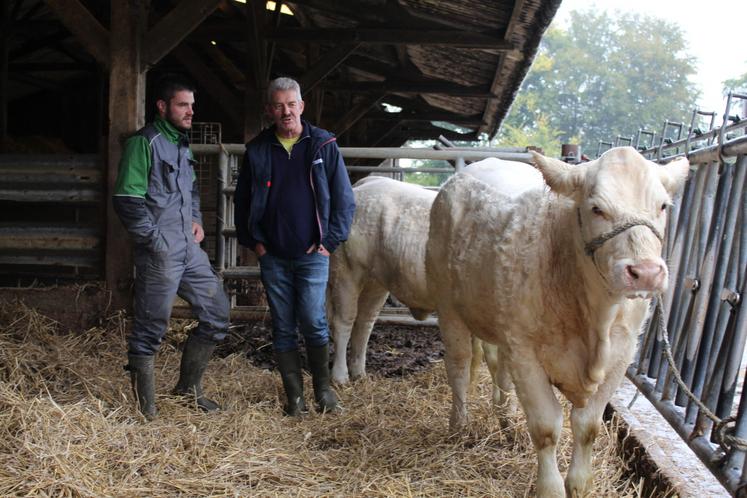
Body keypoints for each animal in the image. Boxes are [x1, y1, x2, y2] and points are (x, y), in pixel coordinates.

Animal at [426, 148, 688, 498]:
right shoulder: (526, 355)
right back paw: (459, 427)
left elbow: (588, 425)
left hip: (499, 319)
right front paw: (550, 488)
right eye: (596, 208)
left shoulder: (620, 356)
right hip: (447, 304)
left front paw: (579, 484)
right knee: (459, 366)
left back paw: (506, 420)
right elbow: (546, 428)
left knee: (498, 367)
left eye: (663, 206)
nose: (645, 272)